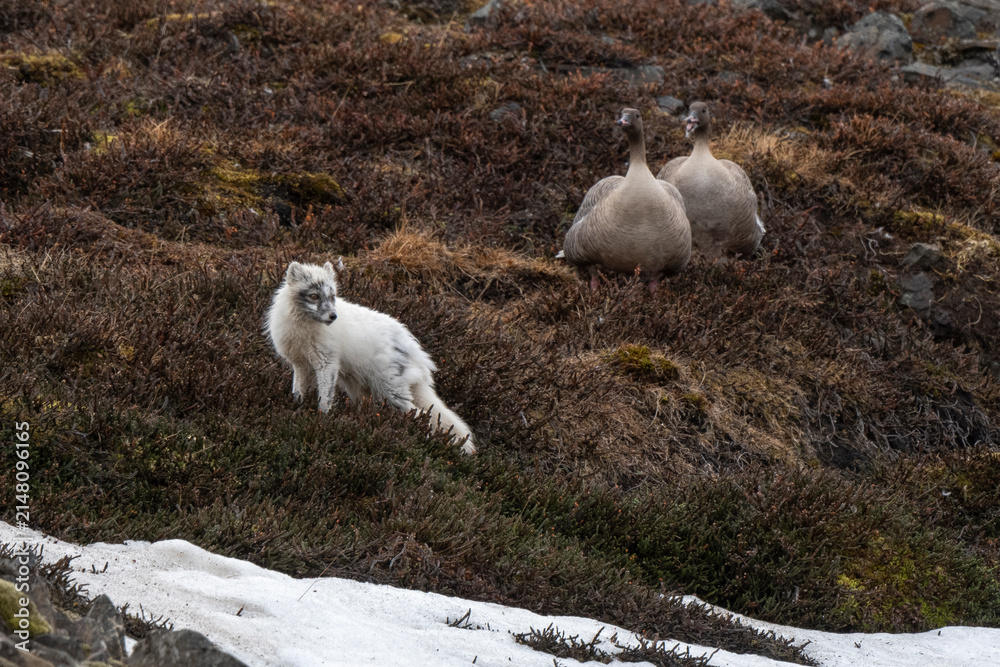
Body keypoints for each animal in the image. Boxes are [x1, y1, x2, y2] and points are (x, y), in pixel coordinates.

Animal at [266, 260, 476, 455]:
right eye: (314, 296)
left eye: (332, 296)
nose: (333, 316)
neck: (303, 327)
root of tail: (416, 351)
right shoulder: (300, 364)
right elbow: (297, 391)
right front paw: (296, 408)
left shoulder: (327, 364)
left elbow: (325, 398)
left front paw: (322, 419)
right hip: (365, 390)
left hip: (391, 392)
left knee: (420, 414)